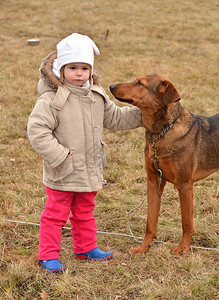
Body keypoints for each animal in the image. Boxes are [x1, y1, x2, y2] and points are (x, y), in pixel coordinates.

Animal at [109, 75, 219, 255]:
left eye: (140, 83)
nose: (111, 86)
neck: (160, 133)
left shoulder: (184, 185)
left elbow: (186, 222)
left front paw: (183, 248)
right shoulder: (154, 182)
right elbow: (150, 222)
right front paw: (143, 247)